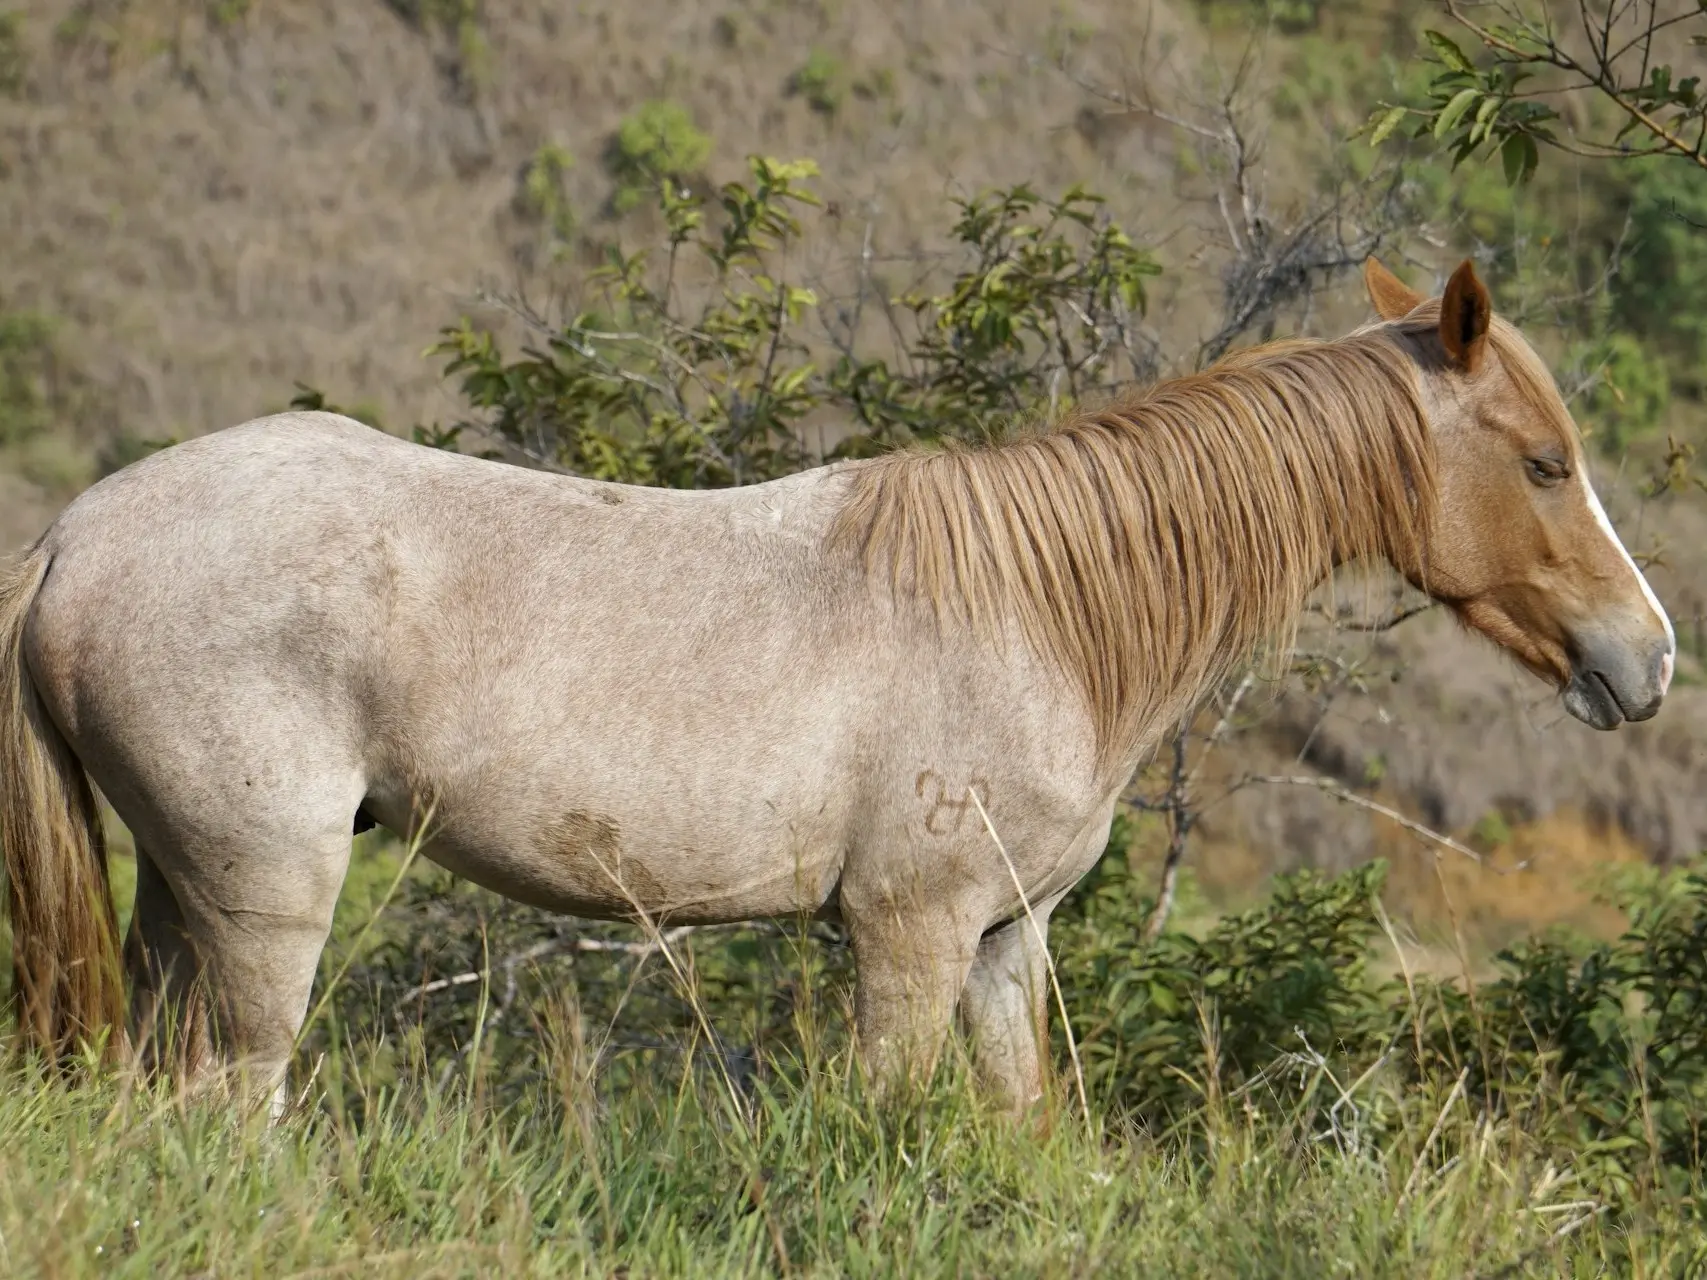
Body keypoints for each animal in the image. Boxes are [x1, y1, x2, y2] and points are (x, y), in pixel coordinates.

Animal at [0, 257, 1679, 1112]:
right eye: (1542, 462)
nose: (1648, 657)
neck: (1038, 610)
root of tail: (80, 531)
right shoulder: (905, 937)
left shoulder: (1000, 946)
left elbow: (1016, 1132)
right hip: (263, 902)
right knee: (233, 1099)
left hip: (186, 895)